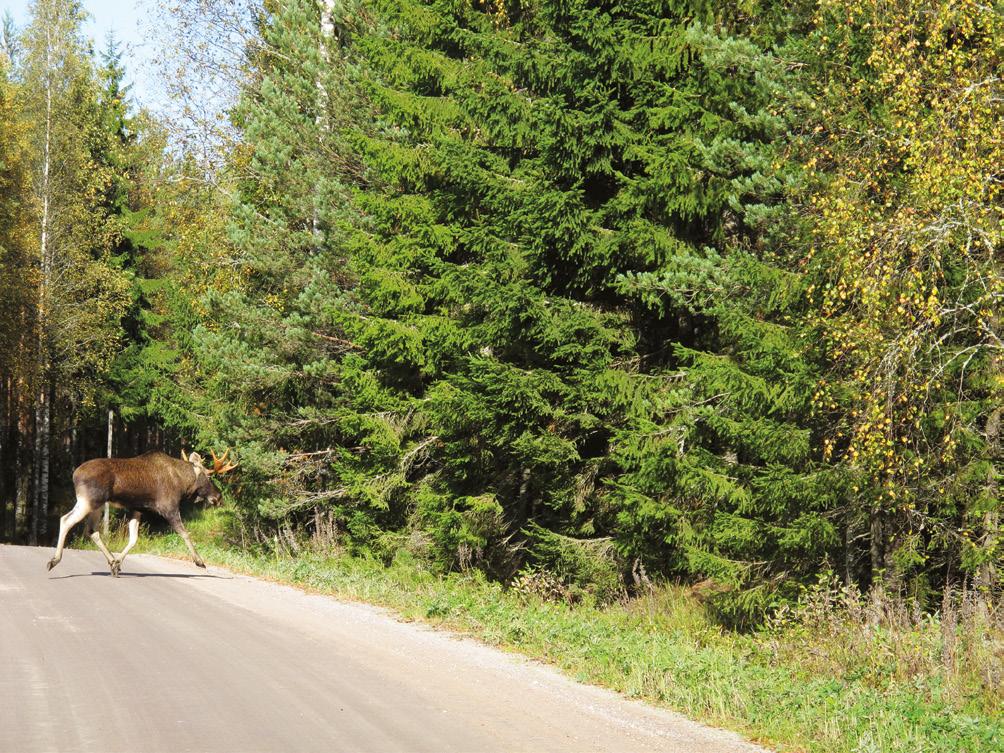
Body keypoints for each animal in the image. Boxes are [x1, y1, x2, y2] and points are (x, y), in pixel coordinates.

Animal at [46, 451, 236, 582]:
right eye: (208, 476)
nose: (218, 497)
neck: (183, 484)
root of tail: (74, 475)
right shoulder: (169, 508)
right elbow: (185, 533)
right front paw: (200, 561)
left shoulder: (137, 509)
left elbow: (133, 539)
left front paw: (117, 564)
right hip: (89, 501)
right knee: (66, 520)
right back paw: (54, 560)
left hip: (96, 505)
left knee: (91, 530)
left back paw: (111, 560)